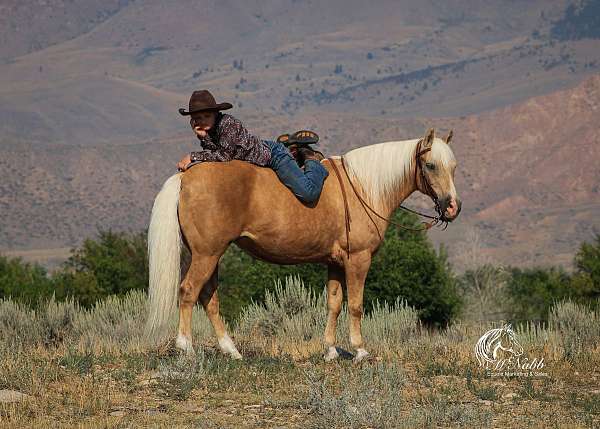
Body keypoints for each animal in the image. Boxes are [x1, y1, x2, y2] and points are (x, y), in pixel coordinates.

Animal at [144, 127, 460, 362]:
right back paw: (186, 347)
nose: (452, 207)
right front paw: (360, 350)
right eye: (430, 165)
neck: (362, 187)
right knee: (188, 291)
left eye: (454, 167)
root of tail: (185, 177)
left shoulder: (335, 262)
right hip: (206, 254)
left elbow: (334, 304)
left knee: (209, 297)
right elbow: (356, 305)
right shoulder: (358, 259)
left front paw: (330, 351)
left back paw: (231, 351)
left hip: (209, 255)